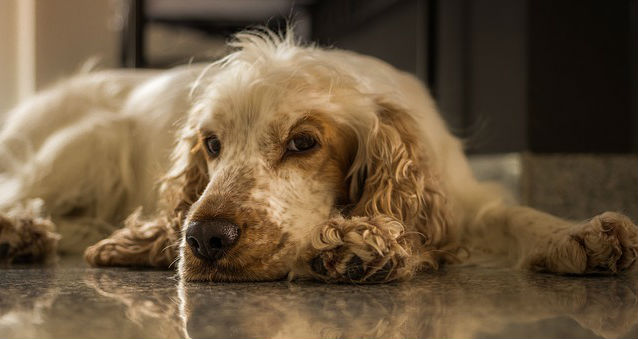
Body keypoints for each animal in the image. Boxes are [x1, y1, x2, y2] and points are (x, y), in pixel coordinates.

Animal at [1, 30, 638, 282]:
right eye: (211, 144)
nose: (205, 239)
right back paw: (21, 231)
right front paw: (350, 245)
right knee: (20, 191)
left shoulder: (459, 198)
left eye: (303, 142)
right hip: (87, 144)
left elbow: (513, 216)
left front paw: (580, 234)